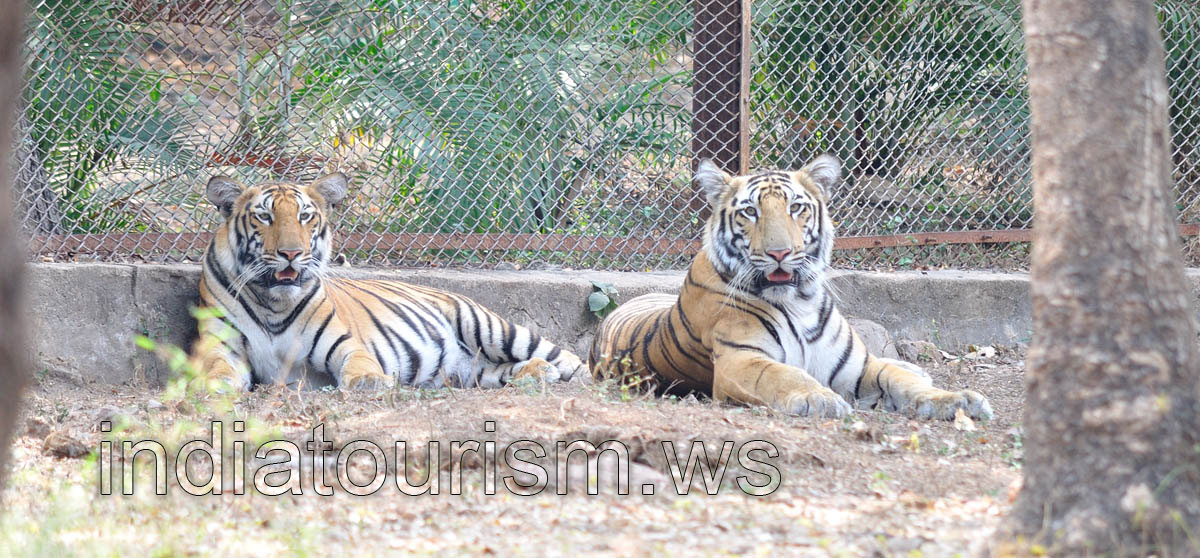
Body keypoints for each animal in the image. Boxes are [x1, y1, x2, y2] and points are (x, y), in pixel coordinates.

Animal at [188, 172, 587, 391]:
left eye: (304, 216)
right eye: (264, 217)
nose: (290, 253)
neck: (274, 302)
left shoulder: (345, 343)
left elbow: (360, 363)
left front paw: (370, 381)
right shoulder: (220, 346)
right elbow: (216, 367)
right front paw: (213, 384)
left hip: (491, 326)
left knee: (569, 358)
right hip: (468, 371)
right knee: (497, 372)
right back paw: (537, 373)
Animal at [589, 155, 993, 420]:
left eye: (796, 208)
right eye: (750, 212)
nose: (779, 253)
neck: (800, 301)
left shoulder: (857, 367)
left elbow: (899, 379)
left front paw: (958, 401)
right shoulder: (740, 361)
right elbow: (784, 374)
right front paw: (821, 400)